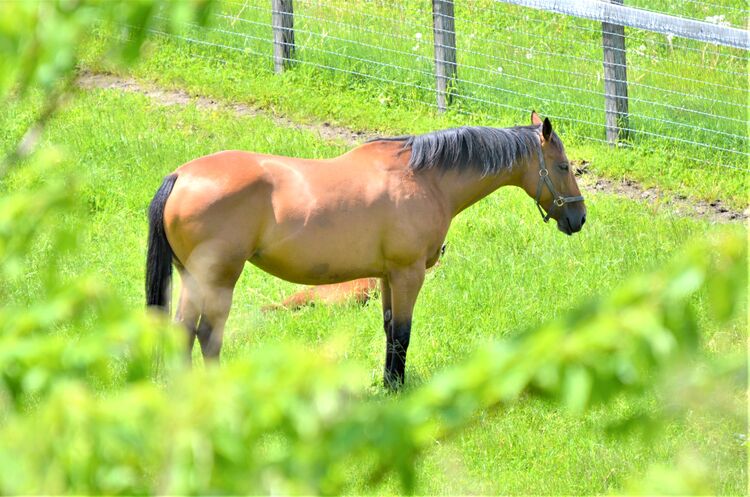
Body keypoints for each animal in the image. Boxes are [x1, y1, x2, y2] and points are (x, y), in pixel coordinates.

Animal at [144, 111, 584, 388]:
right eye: (563, 166)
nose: (578, 218)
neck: (424, 178)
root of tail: (181, 176)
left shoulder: (388, 276)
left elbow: (389, 329)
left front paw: (388, 382)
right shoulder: (409, 273)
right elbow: (403, 333)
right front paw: (397, 388)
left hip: (192, 279)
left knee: (183, 332)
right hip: (218, 279)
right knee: (207, 334)